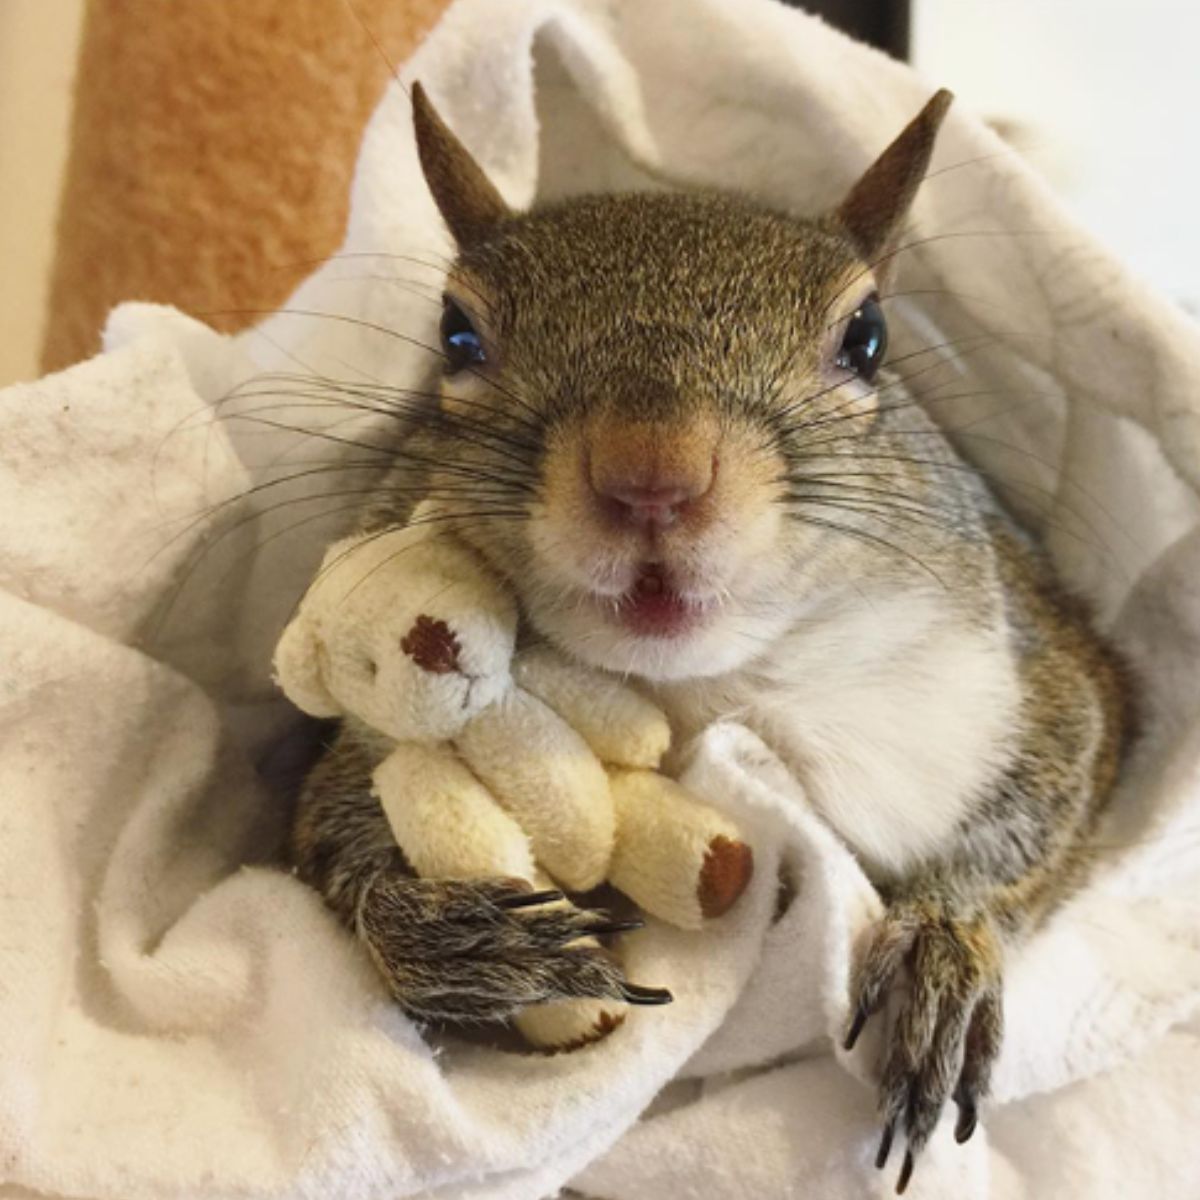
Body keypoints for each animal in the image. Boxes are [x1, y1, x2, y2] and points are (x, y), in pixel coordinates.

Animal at [288, 84, 1132, 1190]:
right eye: (456, 335)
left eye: (868, 336)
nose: (652, 472)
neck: (702, 694)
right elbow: (325, 844)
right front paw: (445, 935)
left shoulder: (1042, 677)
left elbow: (1048, 808)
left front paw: (942, 945)